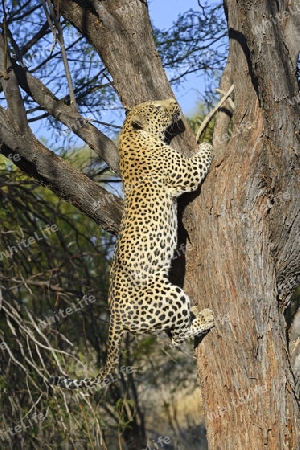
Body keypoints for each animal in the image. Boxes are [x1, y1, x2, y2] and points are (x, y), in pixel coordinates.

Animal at [50, 98, 216, 390]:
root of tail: (114, 316)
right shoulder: (185, 173)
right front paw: (207, 142)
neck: (131, 136)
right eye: (157, 108)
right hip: (168, 296)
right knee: (177, 339)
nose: (173, 102)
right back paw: (205, 319)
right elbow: (199, 160)